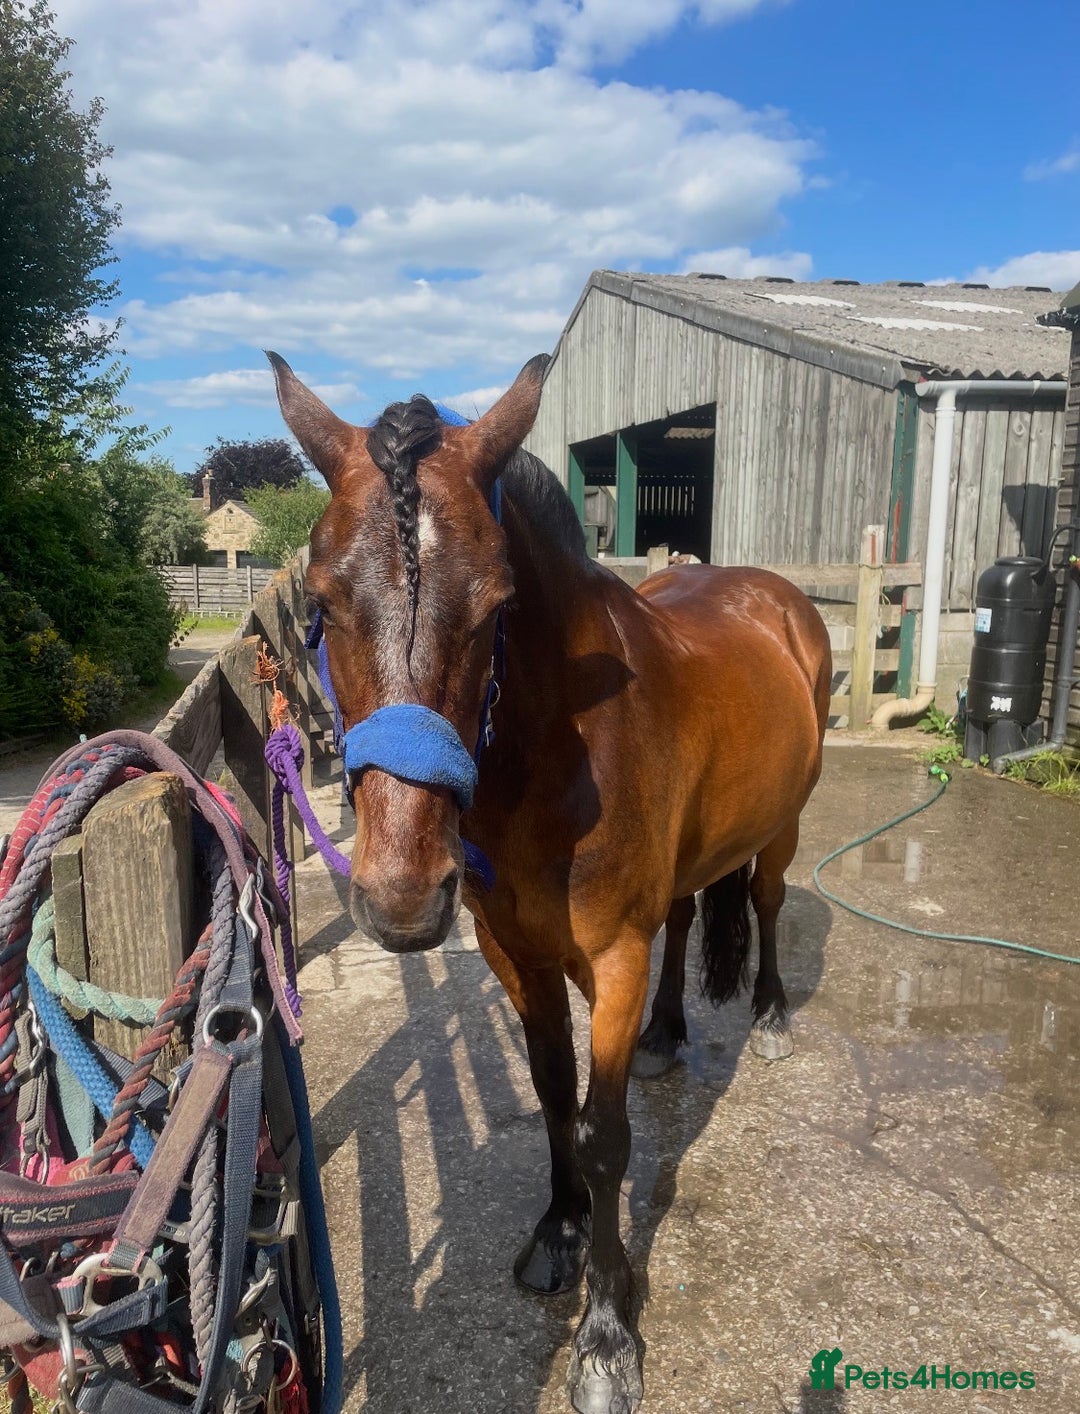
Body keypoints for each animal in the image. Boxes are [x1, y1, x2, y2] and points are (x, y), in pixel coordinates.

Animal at [269, 351, 832, 1414]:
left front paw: (607, 1333)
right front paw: (559, 1230)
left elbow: (605, 1135)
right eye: (322, 601)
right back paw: (666, 1033)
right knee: (687, 917)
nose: (404, 899)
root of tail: (774, 597)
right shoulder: (516, 956)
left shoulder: (610, 960)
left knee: (767, 904)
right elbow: (552, 1089)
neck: (555, 760)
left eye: (497, 605)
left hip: (782, 830)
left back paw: (775, 1017)